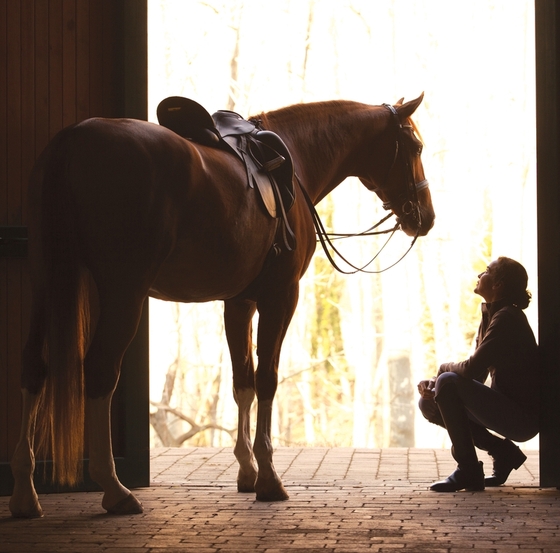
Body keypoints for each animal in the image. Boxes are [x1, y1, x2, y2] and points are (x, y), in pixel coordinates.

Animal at [10, 95, 436, 516]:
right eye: (415, 146)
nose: (426, 218)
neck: (293, 158)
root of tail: (73, 140)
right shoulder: (280, 297)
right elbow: (266, 379)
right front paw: (268, 477)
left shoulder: (239, 302)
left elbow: (242, 383)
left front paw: (247, 470)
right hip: (123, 291)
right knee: (100, 371)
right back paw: (114, 490)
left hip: (46, 281)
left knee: (33, 367)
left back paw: (25, 495)